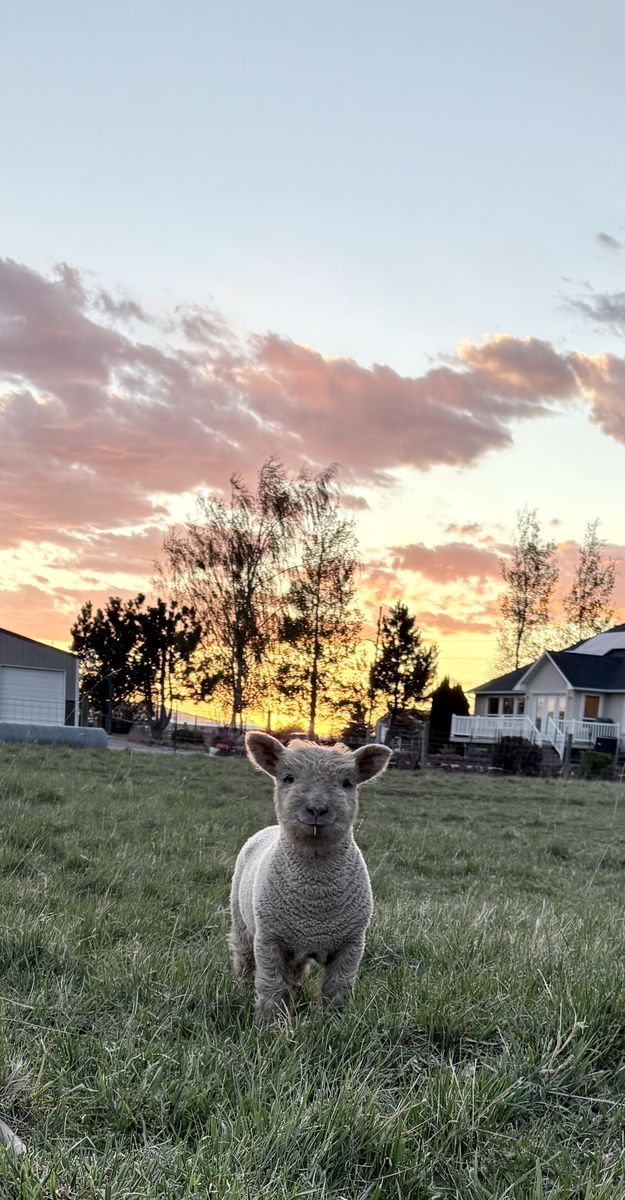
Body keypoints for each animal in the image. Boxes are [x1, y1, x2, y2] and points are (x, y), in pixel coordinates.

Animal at [229, 732, 392, 1024]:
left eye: (347, 783)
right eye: (288, 778)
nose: (317, 809)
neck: (314, 899)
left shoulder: (351, 944)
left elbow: (337, 988)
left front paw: (335, 1023)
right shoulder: (269, 940)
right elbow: (271, 986)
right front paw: (269, 1024)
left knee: (294, 975)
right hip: (243, 923)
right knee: (244, 960)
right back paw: (242, 991)